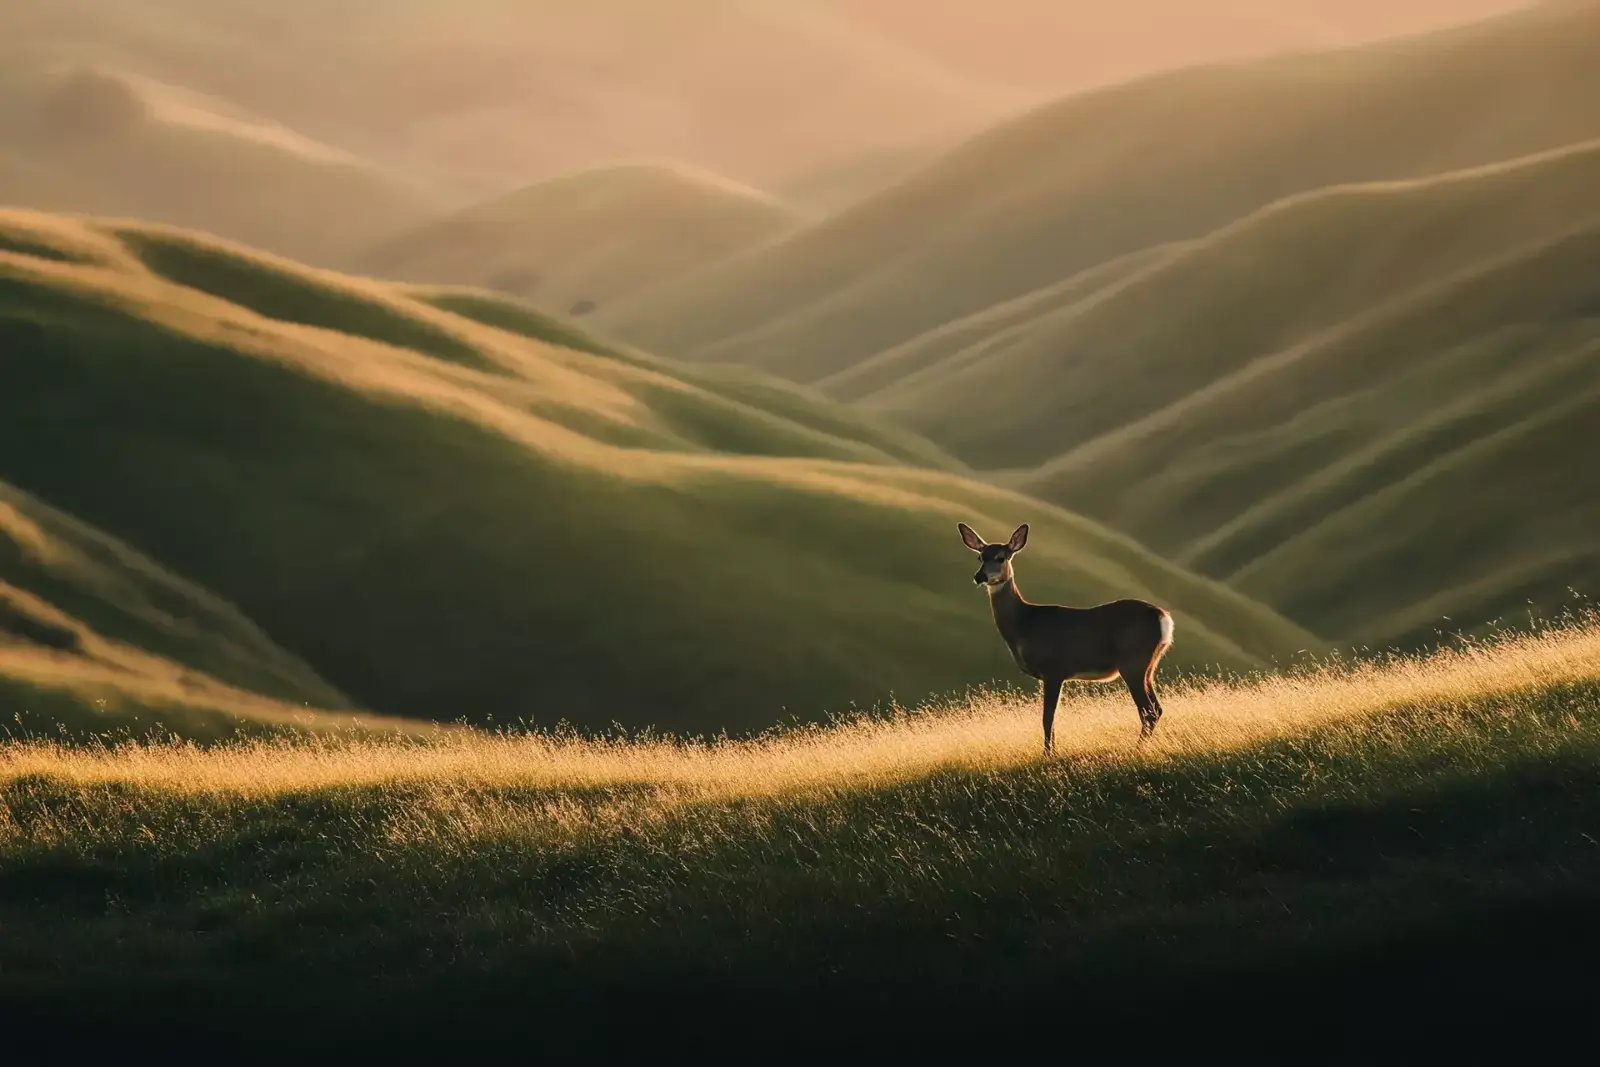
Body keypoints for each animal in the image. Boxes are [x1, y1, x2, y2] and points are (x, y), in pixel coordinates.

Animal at [958, 522, 1174, 752]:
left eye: (1001, 557)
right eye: (980, 557)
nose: (979, 576)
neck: (1024, 624)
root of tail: (1163, 617)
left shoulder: (1053, 669)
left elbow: (1047, 718)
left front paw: (1048, 753)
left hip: (1132, 661)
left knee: (1148, 710)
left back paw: (1136, 748)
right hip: (1149, 666)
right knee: (1157, 708)